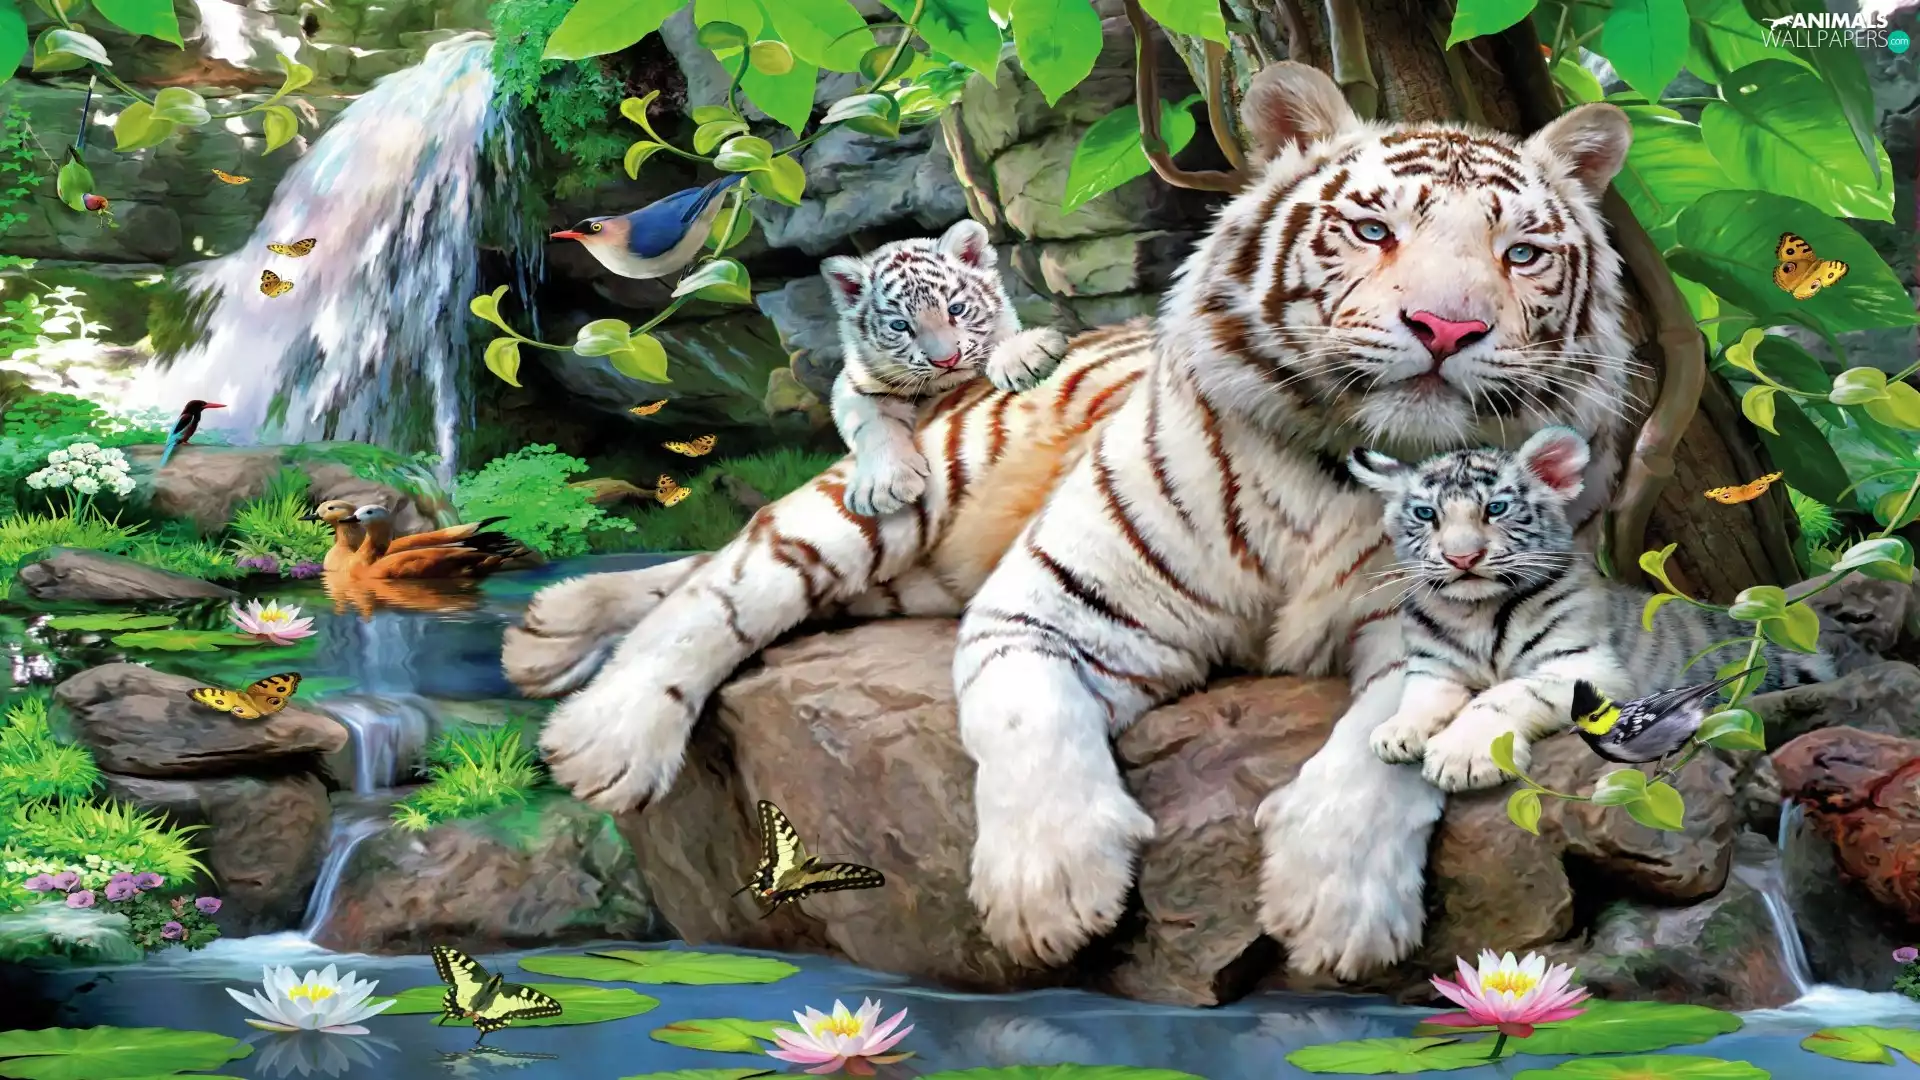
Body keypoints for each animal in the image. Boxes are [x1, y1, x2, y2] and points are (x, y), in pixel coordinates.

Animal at [824, 219, 1070, 516]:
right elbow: (872, 424)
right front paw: (883, 486)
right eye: (900, 325)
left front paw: (1024, 356)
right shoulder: (853, 384)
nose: (947, 360)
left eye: (956, 309)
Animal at [1350, 426, 1832, 778]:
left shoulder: (1585, 666)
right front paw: (1396, 732)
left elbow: (1503, 695)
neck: (1475, 611)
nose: (1462, 558)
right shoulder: (1434, 665)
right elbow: (1423, 693)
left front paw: (1461, 757)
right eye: (1426, 514)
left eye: (1496, 508)